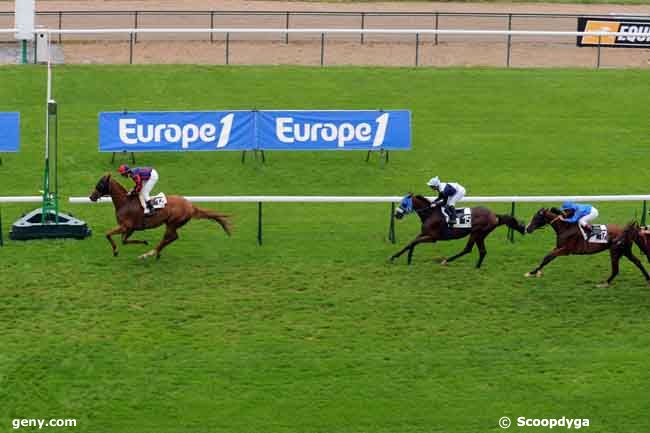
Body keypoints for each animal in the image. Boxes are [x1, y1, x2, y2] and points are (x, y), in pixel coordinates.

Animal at [88, 174, 230, 258]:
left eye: (100, 184)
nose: (91, 197)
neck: (124, 202)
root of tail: (190, 206)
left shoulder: (125, 226)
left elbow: (108, 234)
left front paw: (115, 251)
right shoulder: (130, 228)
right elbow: (124, 240)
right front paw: (144, 241)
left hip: (172, 223)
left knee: (171, 237)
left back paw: (150, 253)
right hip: (171, 224)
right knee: (172, 238)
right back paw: (155, 253)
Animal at [388, 193, 524, 266]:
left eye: (404, 203)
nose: (396, 214)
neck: (431, 213)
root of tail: (494, 215)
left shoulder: (432, 237)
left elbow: (414, 242)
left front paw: (408, 258)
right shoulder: (424, 233)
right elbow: (410, 243)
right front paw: (395, 257)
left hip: (476, 233)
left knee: (468, 249)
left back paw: (446, 260)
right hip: (480, 235)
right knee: (482, 251)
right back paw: (477, 266)